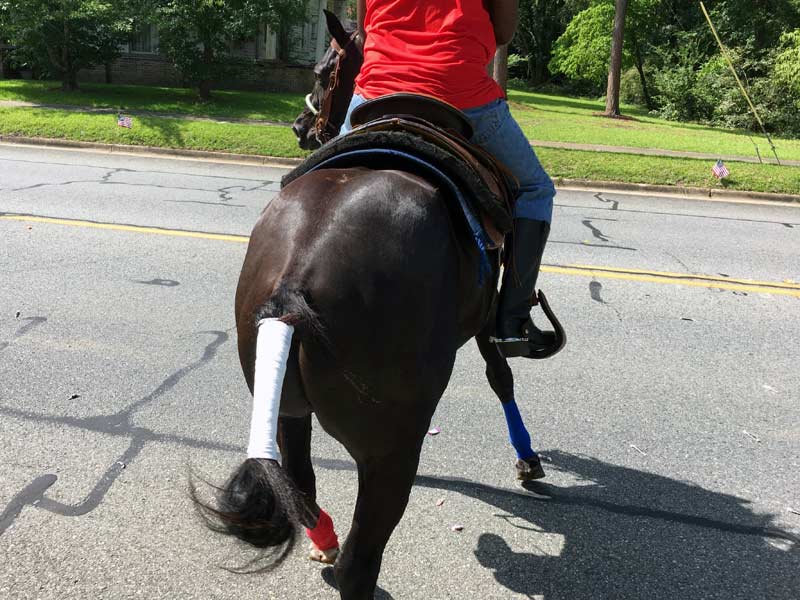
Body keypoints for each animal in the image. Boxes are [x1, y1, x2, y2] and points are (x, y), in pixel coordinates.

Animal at [195, 10, 564, 600]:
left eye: (323, 71)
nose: (300, 128)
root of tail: (295, 279)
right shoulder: (488, 314)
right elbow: (500, 375)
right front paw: (527, 459)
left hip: (288, 410)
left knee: (303, 487)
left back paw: (323, 541)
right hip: (389, 446)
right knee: (361, 561)